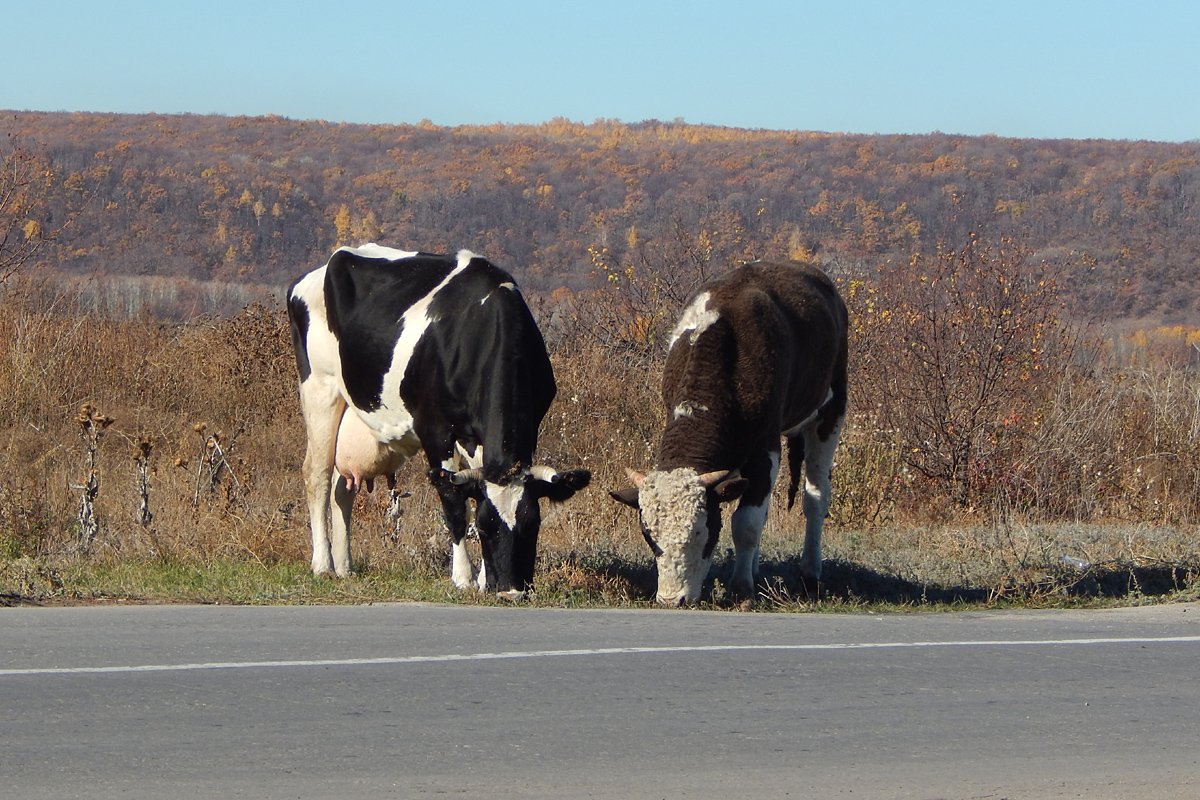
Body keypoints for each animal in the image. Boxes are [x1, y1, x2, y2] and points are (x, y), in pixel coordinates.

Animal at [290, 244, 590, 594]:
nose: (511, 590)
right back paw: (323, 565)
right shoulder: (435, 429)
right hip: (320, 388)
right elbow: (454, 502)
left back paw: (344, 567)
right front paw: (463, 577)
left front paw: (484, 579)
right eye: (485, 528)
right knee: (318, 475)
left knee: (343, 488)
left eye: (534, 525)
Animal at [609, 260, 854, 604]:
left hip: (832, 410)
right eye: (648, 536)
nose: (672, 599)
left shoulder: (765, 447)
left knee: (816, 497)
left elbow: (746, 523)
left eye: (701, 531)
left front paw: (741, 587)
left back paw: (810, 573)